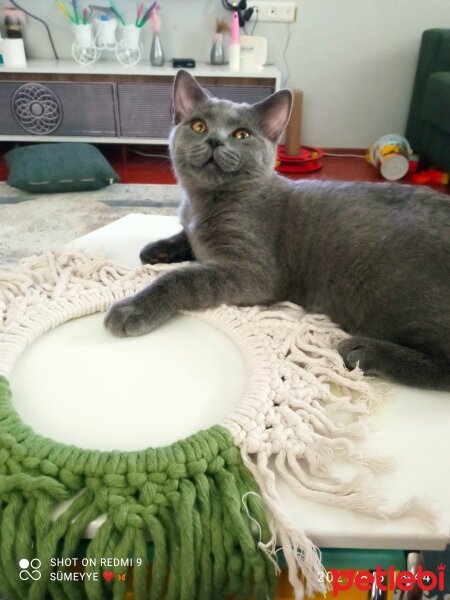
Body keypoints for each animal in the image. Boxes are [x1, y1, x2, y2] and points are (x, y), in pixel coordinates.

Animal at [105, 70, 450, 392]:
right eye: (199, 126)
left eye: (242, 134)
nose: (215, 140)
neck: (203, 203)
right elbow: (186, 238)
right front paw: (156, 249)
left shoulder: (255, 272)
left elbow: (182, 277)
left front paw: (132, 308)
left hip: (389, 293)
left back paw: (363, 351)